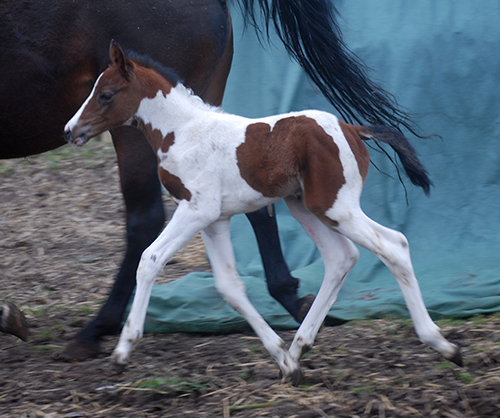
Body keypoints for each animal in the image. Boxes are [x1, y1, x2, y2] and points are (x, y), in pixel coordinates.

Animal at [64, 42, 462, 385]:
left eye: (106, 94)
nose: (70, 130)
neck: (182, 132)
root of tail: (352, 129)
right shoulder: (215, 220)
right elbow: (229, 287)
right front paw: (283, 360)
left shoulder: (195, 210)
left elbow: (149, 259)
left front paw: (122, 351)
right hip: (304, 206)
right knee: (341, 257)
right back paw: (299, 349)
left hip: (336, 206)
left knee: (394, 245)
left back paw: (442, 344)